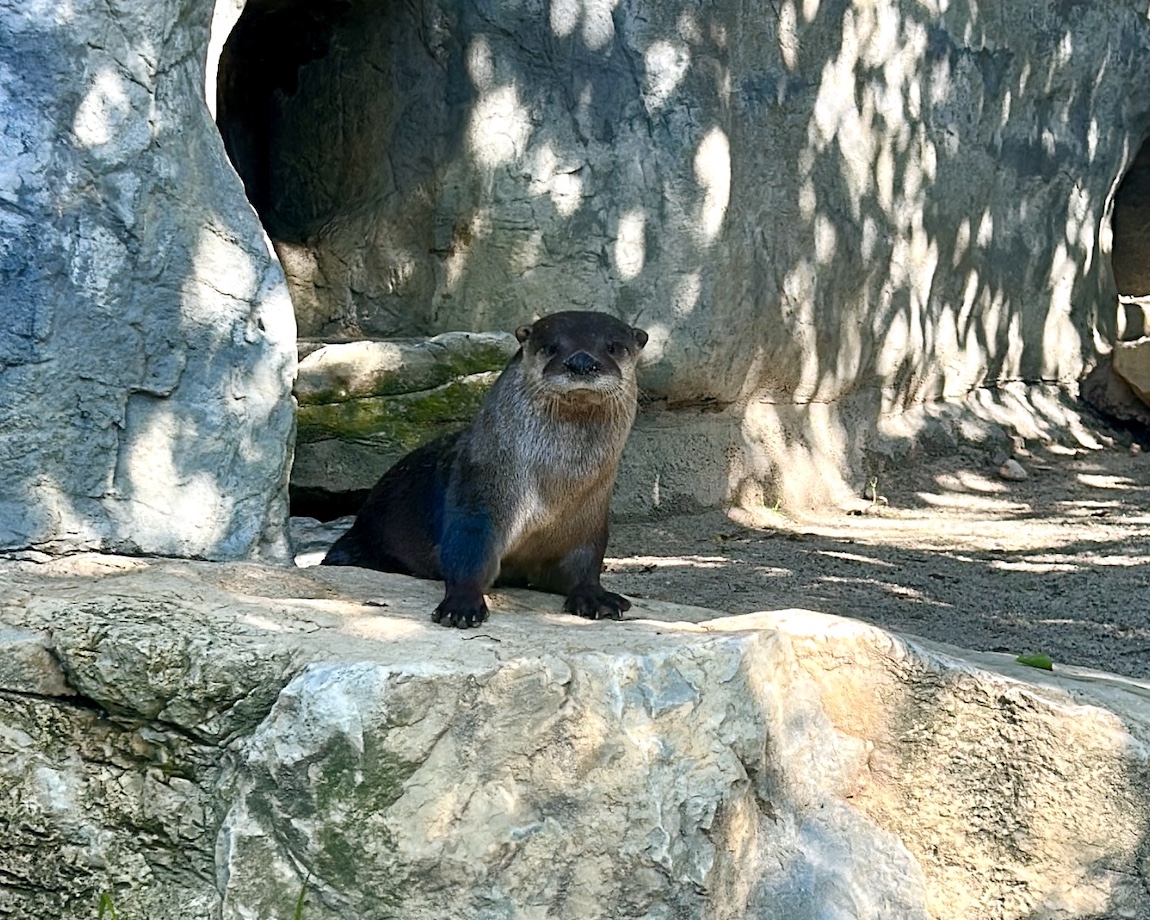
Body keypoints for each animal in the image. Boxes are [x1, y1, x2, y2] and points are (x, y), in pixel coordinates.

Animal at [322, 308, 648, 625]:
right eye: (551, 347)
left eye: (613, 347)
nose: (581, 361)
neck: (548, 497)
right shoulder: (480, 494)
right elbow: (468, 552)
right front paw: (462, 605)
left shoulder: (588, 522)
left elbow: (585, 564)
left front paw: (595, 596)